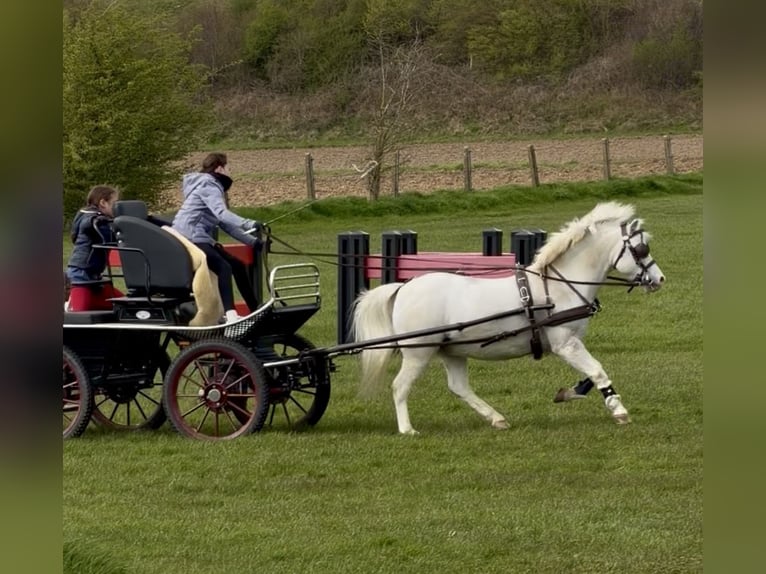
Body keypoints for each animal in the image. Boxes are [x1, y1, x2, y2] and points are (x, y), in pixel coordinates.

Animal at [351, 201, 665, 434]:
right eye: (641, 249)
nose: (659, 278)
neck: (559, 286)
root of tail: (403, 288)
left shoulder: (572, 342)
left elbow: (588, 375)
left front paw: (568, 392)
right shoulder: (565, 344)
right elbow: (598, 370)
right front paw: (619, 410)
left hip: (452, 350)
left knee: (459, 387)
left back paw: (496, 418)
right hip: (419, 352)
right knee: (400, 386)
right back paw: (407, 429)